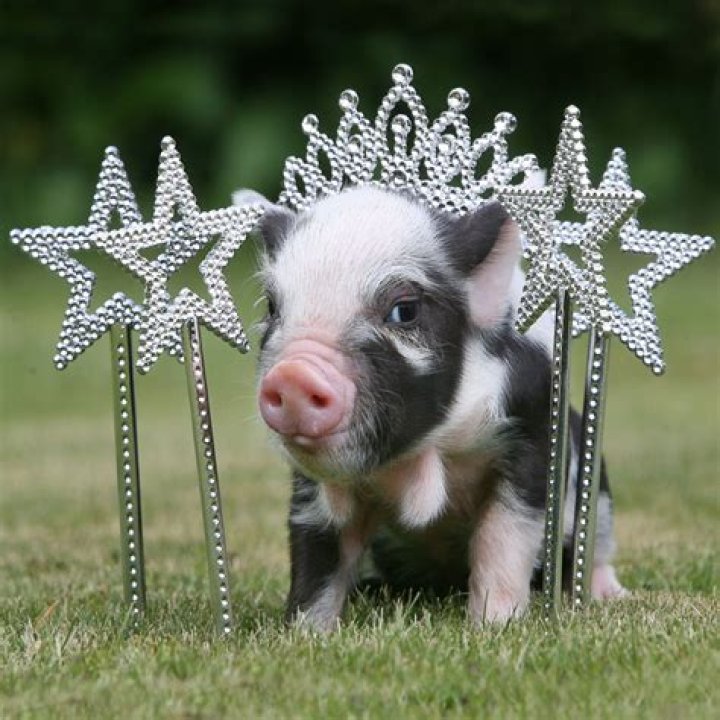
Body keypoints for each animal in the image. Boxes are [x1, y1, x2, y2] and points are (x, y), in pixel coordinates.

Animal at [243, 185, 626, 631]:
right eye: (273, 307)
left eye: (404, 310)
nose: (292, 375)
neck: (422, 453)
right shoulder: (310, 484)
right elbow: (317, 552)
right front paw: (307, 634)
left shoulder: (532, 434)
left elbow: (503, 535)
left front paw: (494, 628)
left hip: (599, 492)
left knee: (596, 548)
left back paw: (610, 596)